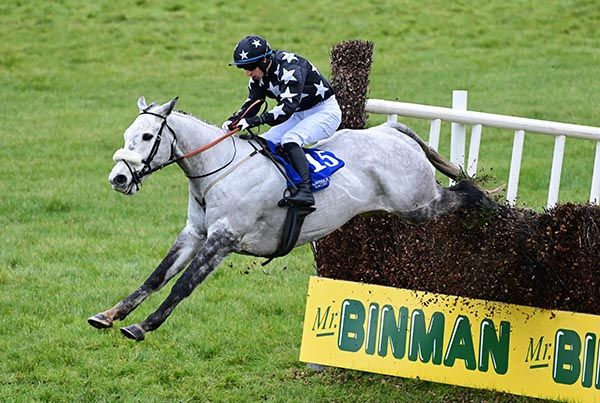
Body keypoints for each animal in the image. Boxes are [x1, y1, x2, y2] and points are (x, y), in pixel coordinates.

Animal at [88, 96, 494, 341]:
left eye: (147, 136)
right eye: (127, 134)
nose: (118, 178)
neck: (219, 169)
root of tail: (391, 130)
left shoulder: (223, 240)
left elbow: (182, 286)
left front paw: (143, 326)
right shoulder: (194, 234)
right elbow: (156, 277)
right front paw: (109, 314)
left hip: (419, 203)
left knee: (463, 192)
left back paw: (492, 208)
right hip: (402, 208)